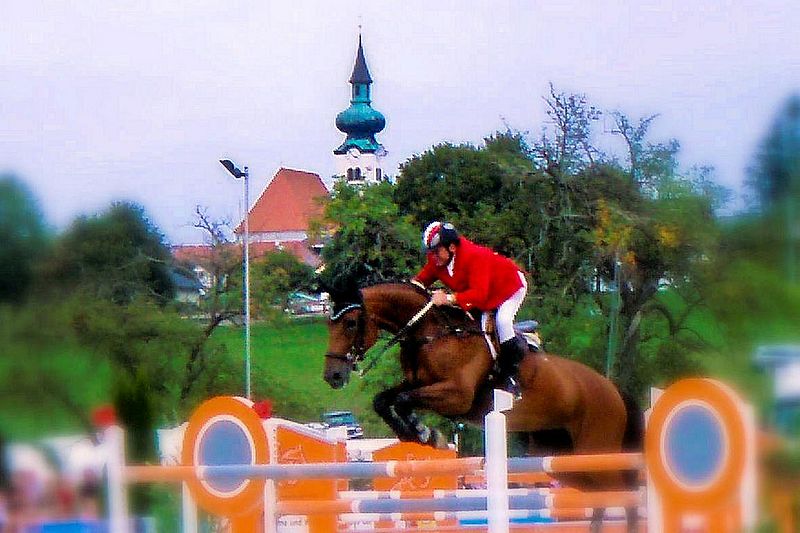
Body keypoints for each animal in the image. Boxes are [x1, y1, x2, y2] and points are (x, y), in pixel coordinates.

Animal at [322, 281, 642, 532]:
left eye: (350, 323)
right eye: (329, 324)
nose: (332, 376)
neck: (432, 333)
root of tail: (614, 390)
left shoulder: (457, 395)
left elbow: (401, 400)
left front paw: (425, 433)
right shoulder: (417, 384)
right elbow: (384, 399)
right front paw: (417, 433)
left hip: (596, 450)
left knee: (624, 493)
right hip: (559, 456)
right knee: (602, 495)